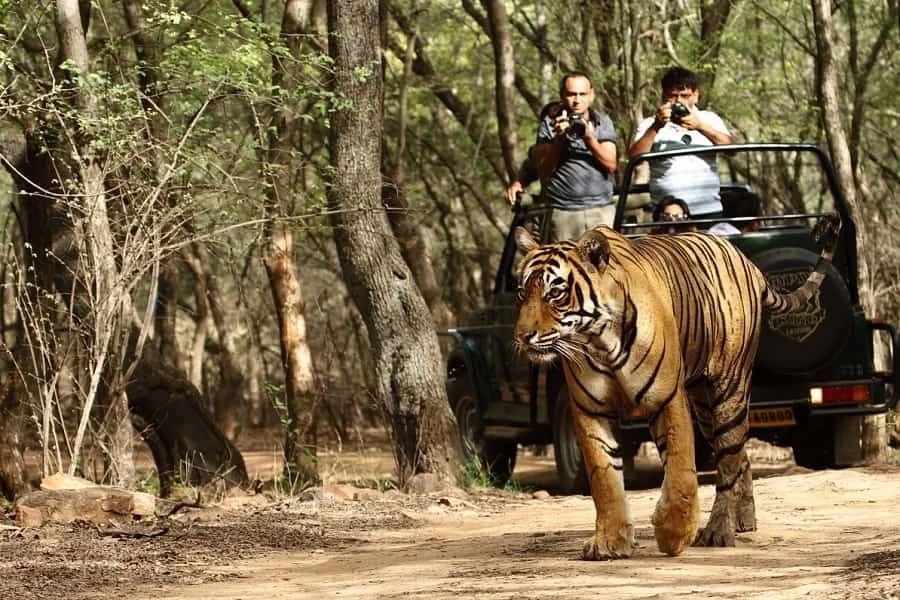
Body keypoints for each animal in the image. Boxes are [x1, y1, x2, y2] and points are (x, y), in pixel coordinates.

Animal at [514, 213, 841, 560]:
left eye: (555, 293)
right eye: (522, 293)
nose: (523, 336)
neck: (599, 340)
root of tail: (749, 263)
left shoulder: (666, 398)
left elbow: (681, 469)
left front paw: (674, 533)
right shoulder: (590, 410)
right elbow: (604, 478)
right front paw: (609, 541)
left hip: (729, 390)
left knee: (728, 462)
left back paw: (718, 530)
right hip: (705, 406)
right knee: (739, 455)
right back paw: (743, 519)